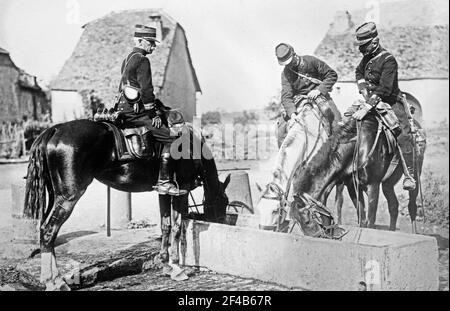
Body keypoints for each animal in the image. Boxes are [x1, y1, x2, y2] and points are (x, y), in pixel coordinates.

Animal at [22, 120, 230, 292]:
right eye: (224, 202)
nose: (220, 219)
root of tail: (55, 129)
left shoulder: (164, 192)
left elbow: (166, 226)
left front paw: (166, 265)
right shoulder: (183, 191)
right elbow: (177, 228)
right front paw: (177, 268)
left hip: (55, 196)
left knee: (45, 231)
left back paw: (51, 279)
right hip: (68, 197)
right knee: (49, 231)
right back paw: (54, 282)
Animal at [290, 111, 424, 236]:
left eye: (307, 221)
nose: (318, 236)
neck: (358, 146)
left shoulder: (373, 184)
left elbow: (370, 220)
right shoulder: (352, 187)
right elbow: (362, 219)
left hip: (415, 179)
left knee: (412, 206)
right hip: (387, 184)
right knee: (393, 206)